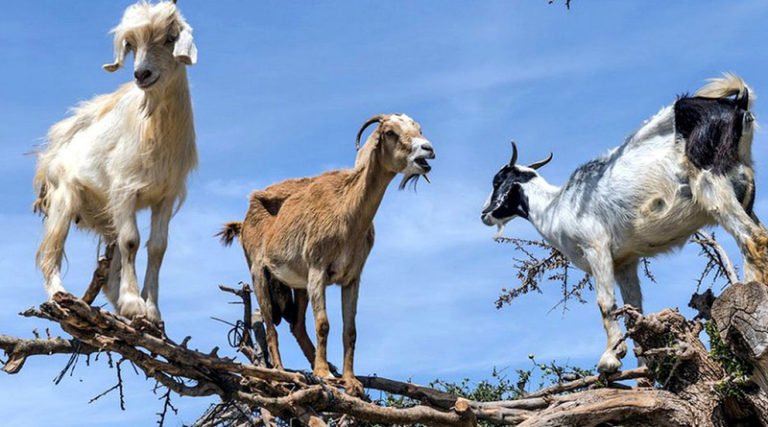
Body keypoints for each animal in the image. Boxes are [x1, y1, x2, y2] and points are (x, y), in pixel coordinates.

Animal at [33, 1, 198, 322]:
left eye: (170, 38)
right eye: (131, 44)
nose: (141, 74)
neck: (152, 127)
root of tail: (50, 152)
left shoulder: (165, 195)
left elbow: (157, 247)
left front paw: (151, 311)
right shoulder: (124, 190)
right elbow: (132, 240)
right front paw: (135, 303)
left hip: (105, 213)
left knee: (109, 273)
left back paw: (118, 308)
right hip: (64, 199)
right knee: (50, 252)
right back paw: (59, 296)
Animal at [218, 114, 435, 394]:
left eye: (418, 128)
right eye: (390, 132)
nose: (427, 150)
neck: (346, 211)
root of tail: (243, 221)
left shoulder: (352, 277)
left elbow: (350, 330)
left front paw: (350, 381)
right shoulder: (318, 269)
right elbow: (323, 323)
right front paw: (324, 373)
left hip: (297, 285)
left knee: (296, 326)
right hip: (259, 274)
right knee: (270, 327)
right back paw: (282, 373)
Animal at [481, 74, 767, 373]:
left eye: (497, 180)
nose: (485, 213)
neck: (556, 205)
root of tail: (738, 104)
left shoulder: (595, 247)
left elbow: (605, 302)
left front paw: (610, 358)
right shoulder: (625, 261)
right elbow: (634, 310)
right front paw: (644, 369)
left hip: (711, 183)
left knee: (752, 238)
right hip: (743, 188)